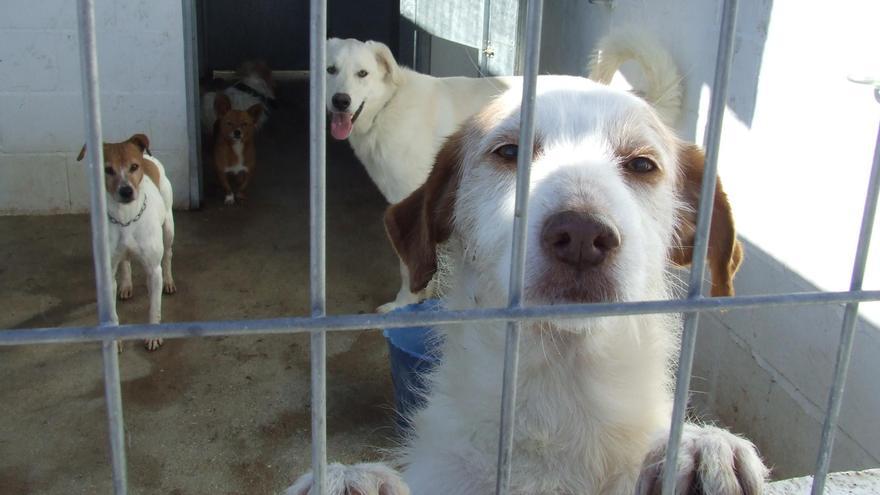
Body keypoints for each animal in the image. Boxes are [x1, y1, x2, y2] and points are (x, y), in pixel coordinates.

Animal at [77, 134, 177, 350]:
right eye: (107, 169)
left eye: (134, 167)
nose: (126, 191)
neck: (125, 218)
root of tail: (148, 158)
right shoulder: (107, 272)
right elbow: (113, 314)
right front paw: (113, 341)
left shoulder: (152, 269)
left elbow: (154, 306)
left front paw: (153, 336)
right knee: (125, 263)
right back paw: (126, 285)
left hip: (168, 228)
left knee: (168, 255)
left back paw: (168, 281)